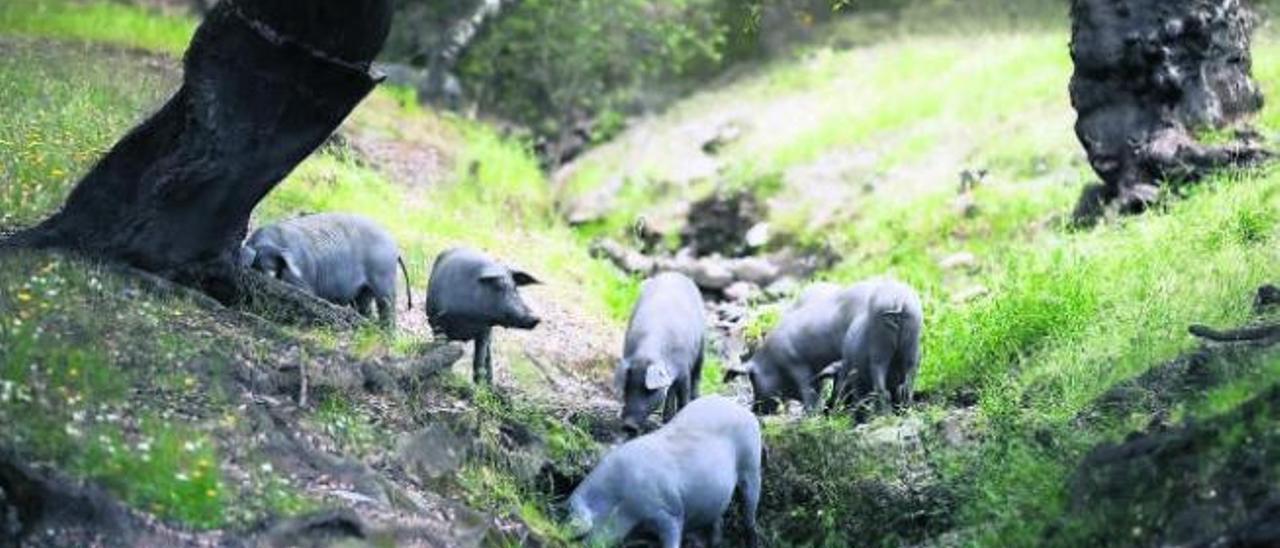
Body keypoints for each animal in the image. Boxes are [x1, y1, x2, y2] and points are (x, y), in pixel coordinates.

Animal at [422, 248, 537, 384]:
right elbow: (442, 352)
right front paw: (446, 377)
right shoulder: (437, 323)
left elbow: (479, 360)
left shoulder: (485, 330)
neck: (468, 317)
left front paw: (479, 386)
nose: (536, 318)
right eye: (499, 286)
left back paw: (490, 384)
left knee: (488, 355)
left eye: (515, 288)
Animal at [563, 394, 757, 548]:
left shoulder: (669, 511)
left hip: (751, 462)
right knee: (718, 518)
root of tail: (739, 407)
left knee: (750, 507)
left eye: (583, 535)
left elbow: (673, 535)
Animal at [614, 271, 706, 435]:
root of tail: (676, 274)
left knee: (696, 376)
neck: (648, 354)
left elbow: (683, 394)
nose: (628, 425)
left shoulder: (683, 371)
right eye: (627, 387)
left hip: (702, 343)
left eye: (649, 391)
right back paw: (666, 419)